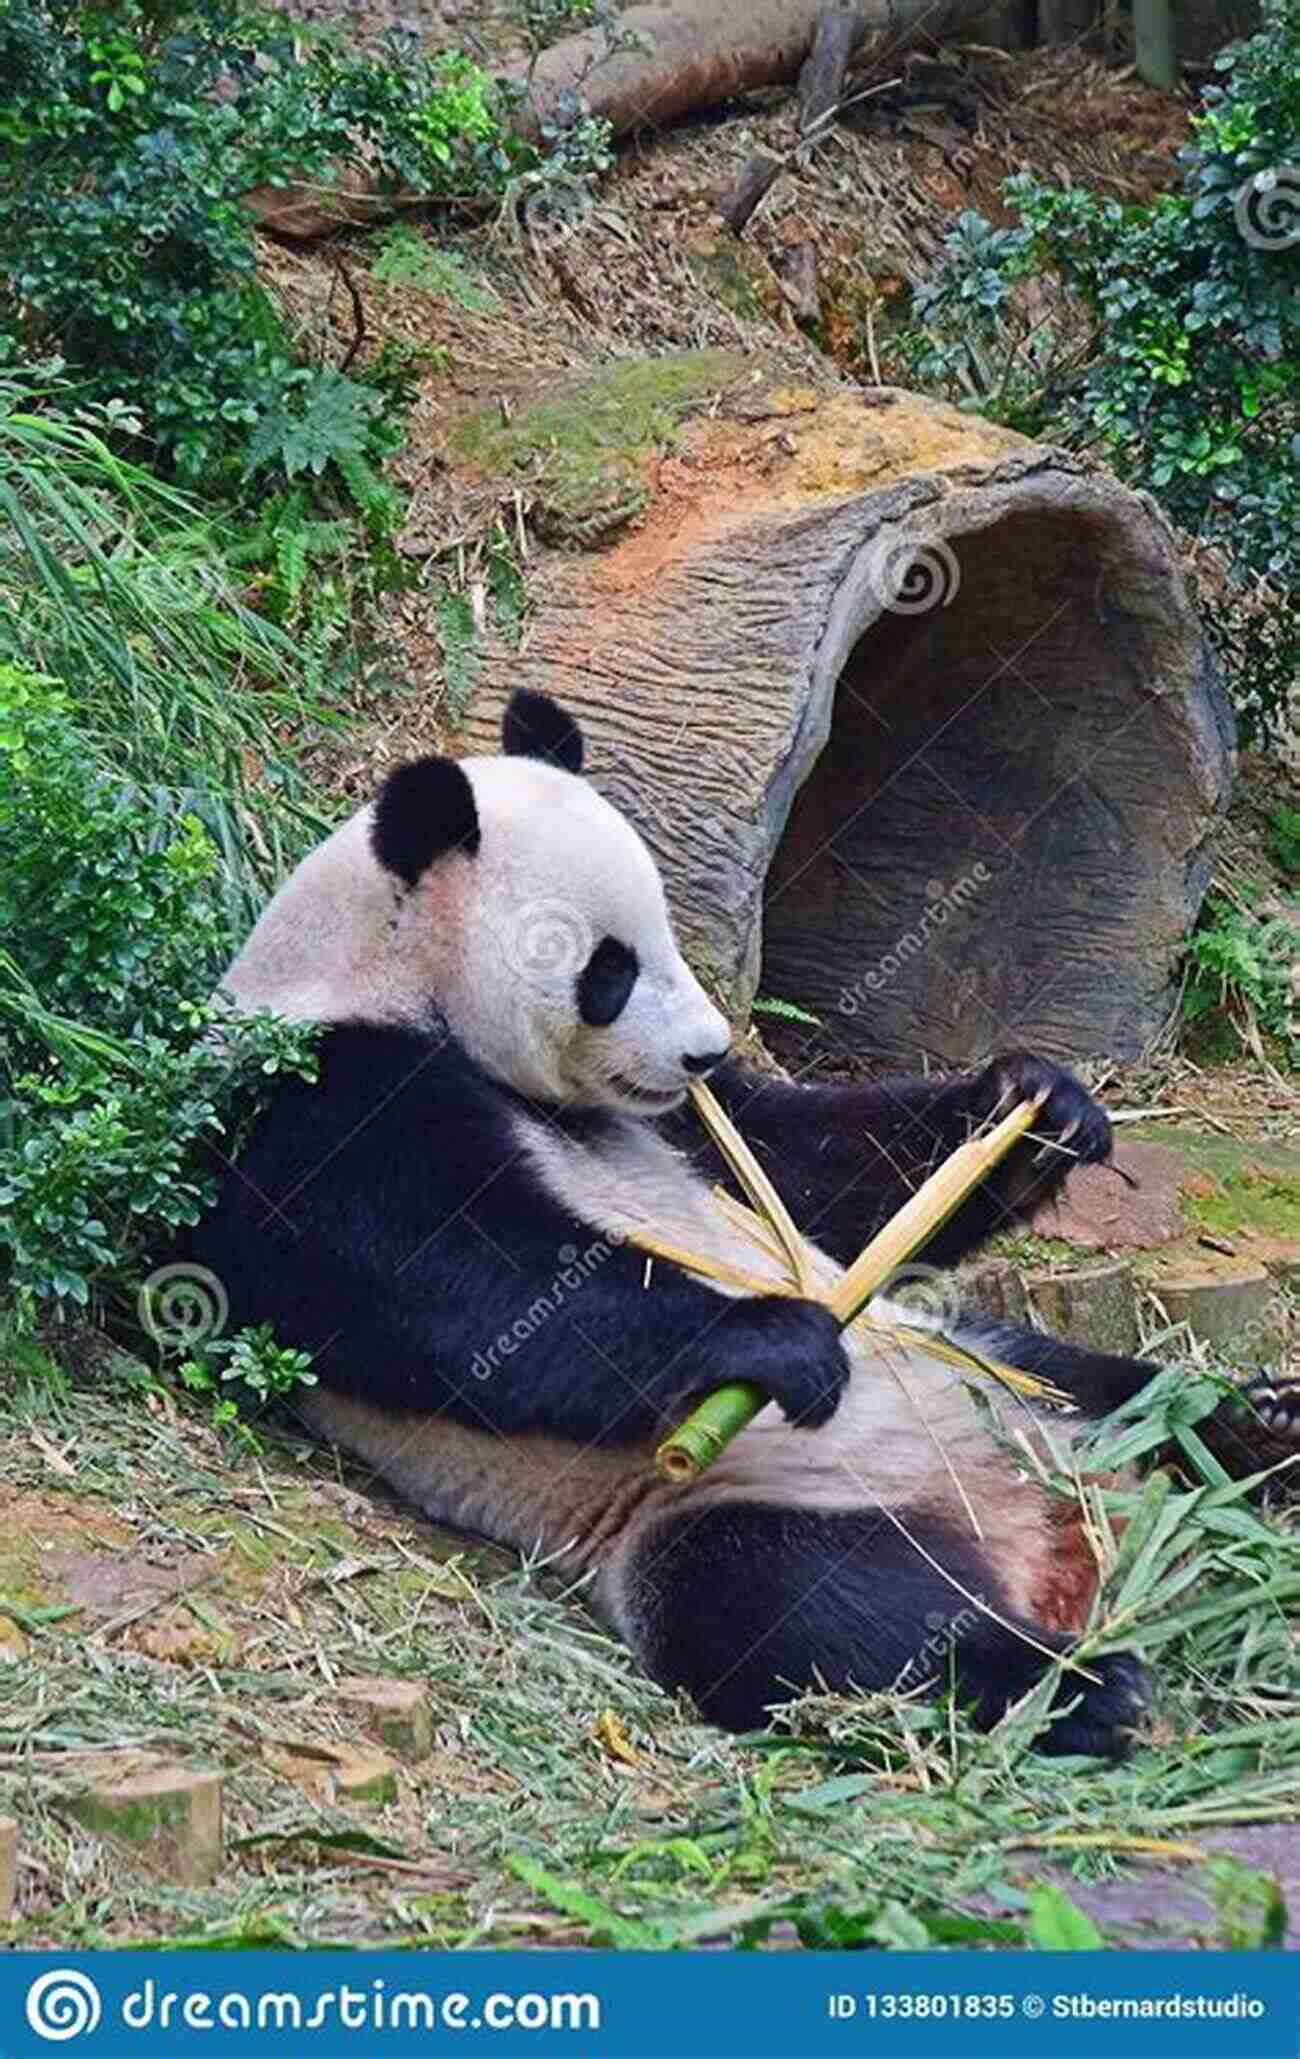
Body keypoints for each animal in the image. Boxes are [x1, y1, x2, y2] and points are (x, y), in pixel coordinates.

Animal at [193, 691, 1300, 1754]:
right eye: (610, 969)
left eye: (668, 934)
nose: (705, 1049)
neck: (377, 976)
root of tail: (1049, 1525)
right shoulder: (324, 1100)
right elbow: (454, 1290)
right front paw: (774, 1338)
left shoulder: (682, 1121)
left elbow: (807, 1174)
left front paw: (1037, 1111)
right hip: (740, 1496)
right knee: (820, 1610)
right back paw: (1080, 1685)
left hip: (997, 1370)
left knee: (1127, 1395)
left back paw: (1257, 1425)